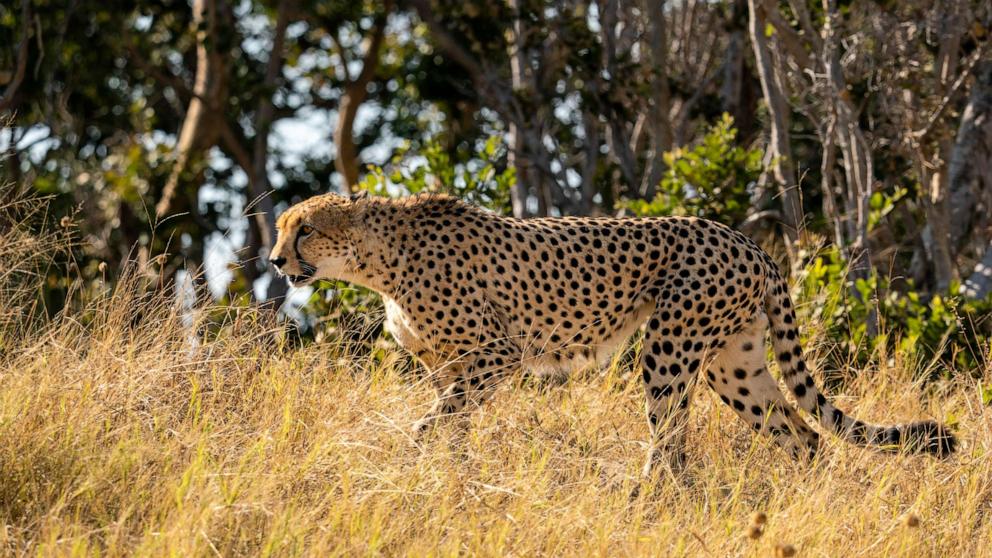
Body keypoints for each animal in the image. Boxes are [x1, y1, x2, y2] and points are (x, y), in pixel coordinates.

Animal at [270, 194, 952, 476]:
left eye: (305, 230)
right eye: (281, 228)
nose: (275, 262)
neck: (380, 259)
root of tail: (746, 240)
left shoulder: (498, 352)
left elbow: (437, 417)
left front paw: (421, 453)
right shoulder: (451, 363)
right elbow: (452, 418)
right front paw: (445, 473)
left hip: (671, 345)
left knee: (672, 440)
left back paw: (644, 497)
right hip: (734, 362)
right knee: (802, 433)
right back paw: (804, 498)